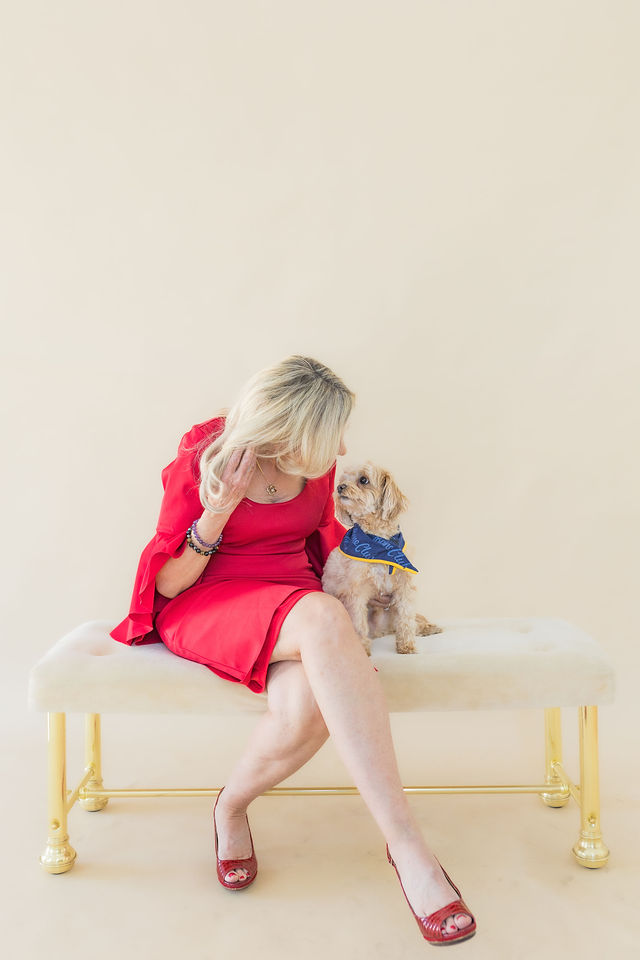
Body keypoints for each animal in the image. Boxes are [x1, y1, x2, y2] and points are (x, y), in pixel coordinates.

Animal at [322, 460, 442, 655]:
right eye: (342, 480)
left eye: (364, 480)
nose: (339, 487)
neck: (379, 543)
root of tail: (380, 631)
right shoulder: (356, 591)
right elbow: (358, 624)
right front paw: (362, 650)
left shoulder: (404, 586)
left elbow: (406, 618)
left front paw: (406, 645)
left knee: (413, 621)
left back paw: (428, 627)